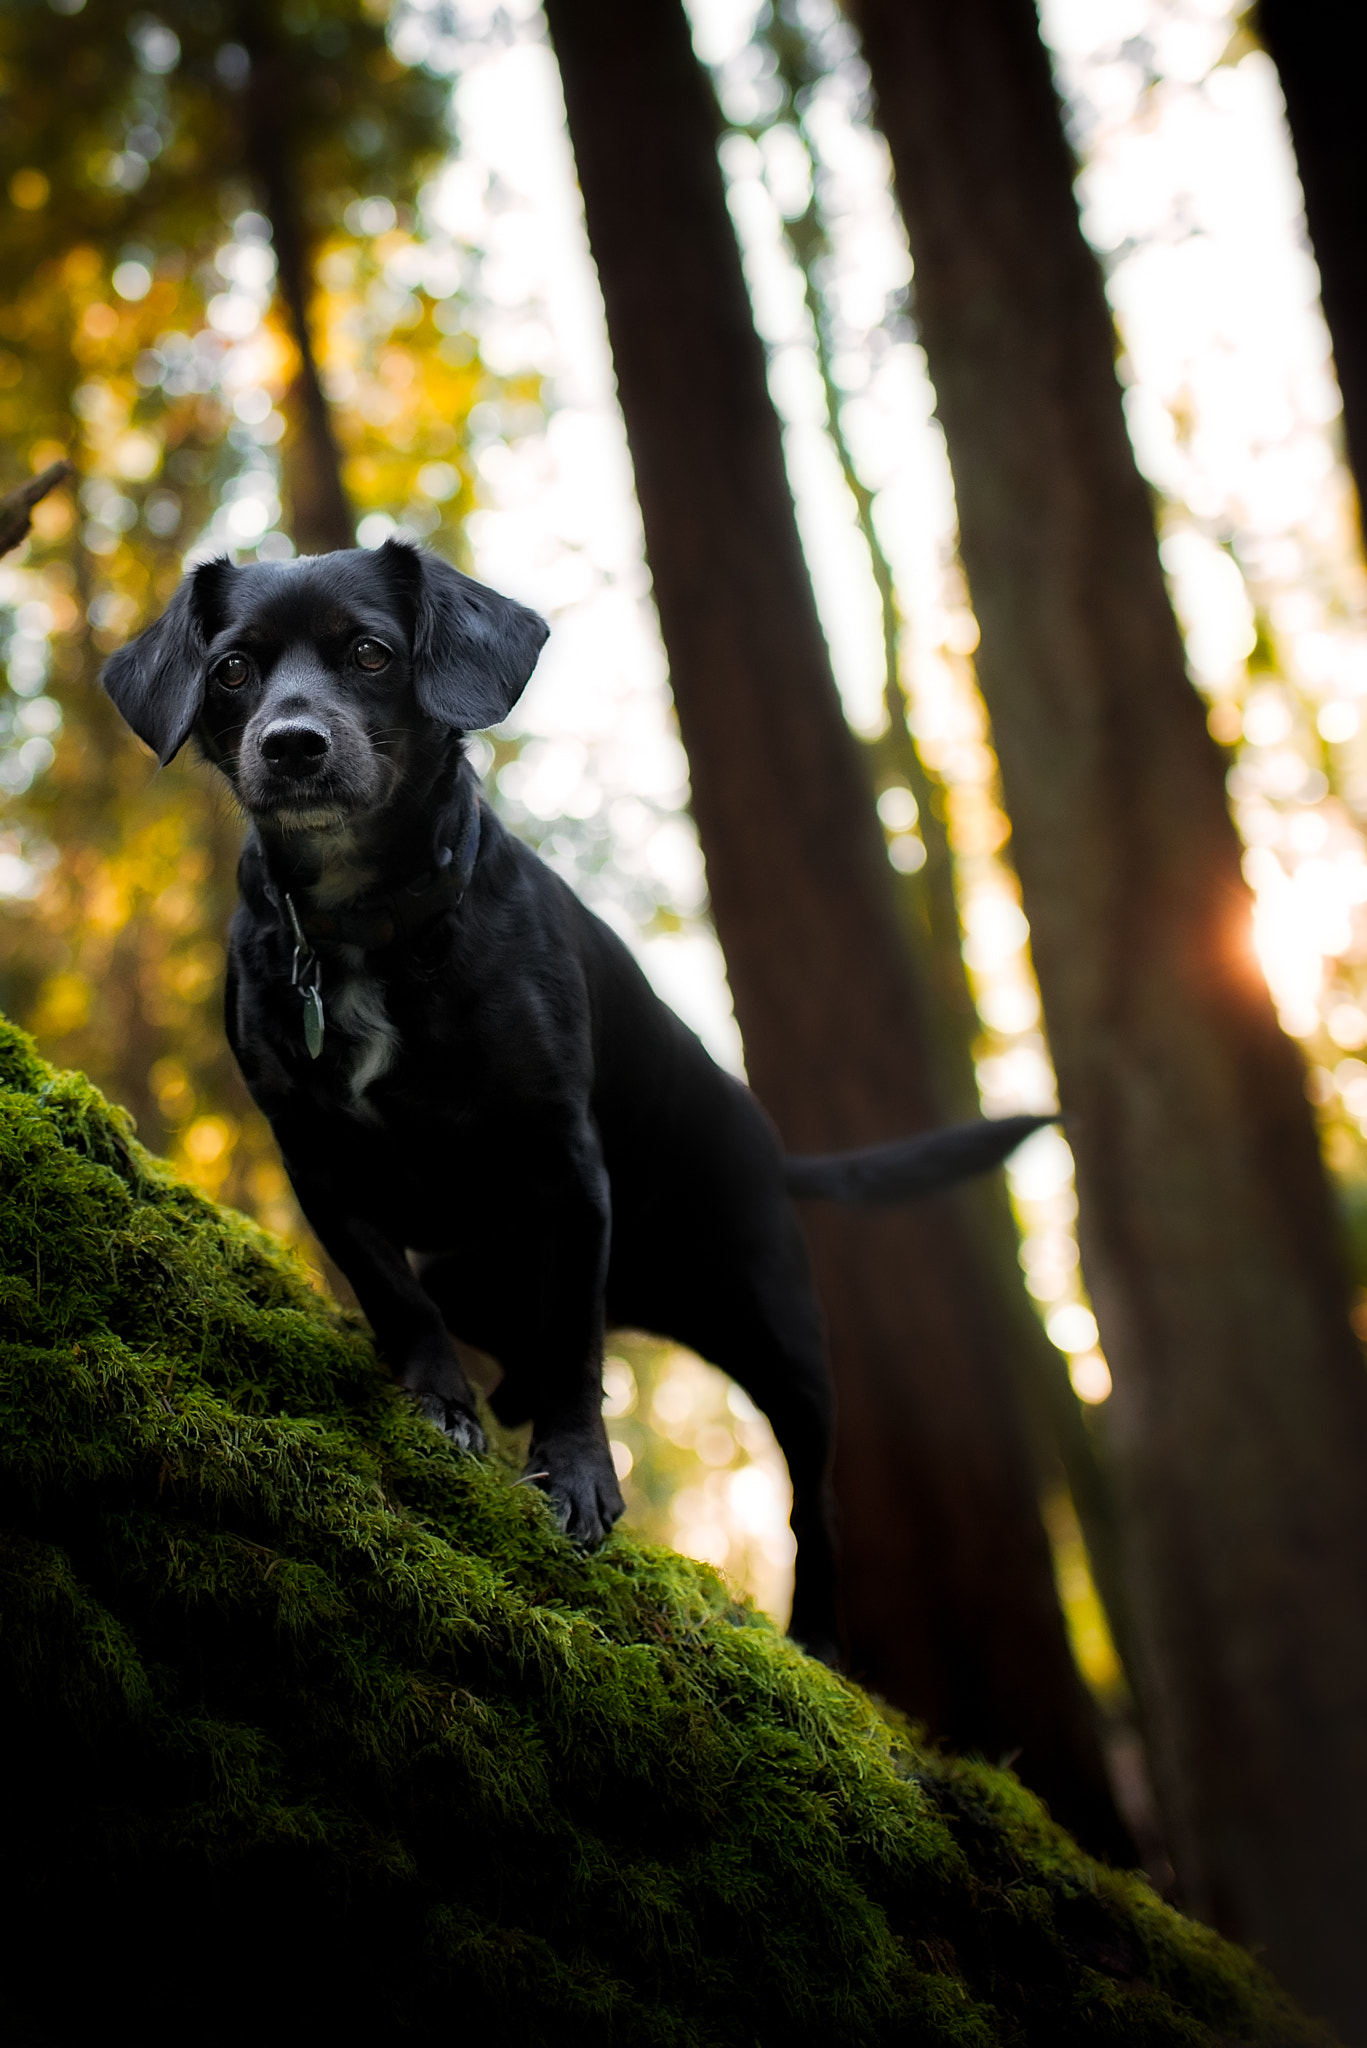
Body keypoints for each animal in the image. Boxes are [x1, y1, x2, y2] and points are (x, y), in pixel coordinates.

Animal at [107, 544, 1041, 1662]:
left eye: (371, 653)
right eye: (234, 669)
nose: (291, 743)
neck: (367, 930)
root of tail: (770, 1148)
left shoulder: (564, 1171)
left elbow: (573, 1346)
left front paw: (579, 1476)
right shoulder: (315, 1158)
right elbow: (396, 1293)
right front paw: (438, 1403)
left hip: (781, 1340)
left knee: (812, 1500)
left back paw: (814, 1629)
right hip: (478, 1269)